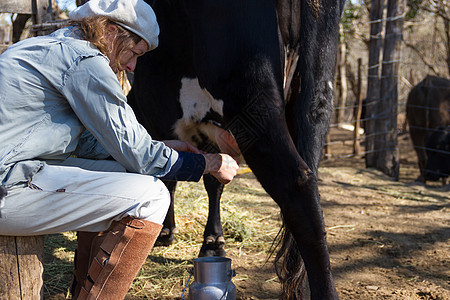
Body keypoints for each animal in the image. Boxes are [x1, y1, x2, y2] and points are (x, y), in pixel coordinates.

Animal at [127, 1, 344, 298]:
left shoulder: (162, 125)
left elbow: (169, 179)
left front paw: (166, 231)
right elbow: (213, 182)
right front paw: (212, 241)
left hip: (249, 93)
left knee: (297, 184)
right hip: (316, 95)